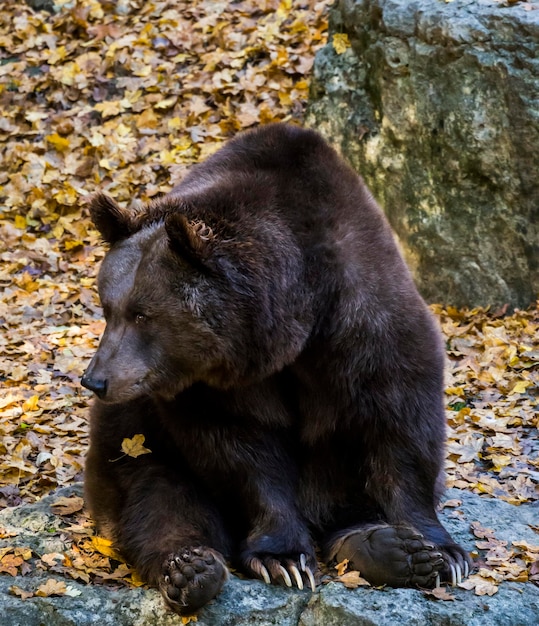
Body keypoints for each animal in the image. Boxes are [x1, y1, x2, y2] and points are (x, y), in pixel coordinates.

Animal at [82, 123, 470, 616]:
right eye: (107, 307)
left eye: (141, 314)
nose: (96, 379)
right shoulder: (211, 387)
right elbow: (243, 454)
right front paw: (283, 559)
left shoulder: (364, 321)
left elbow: (401, 423)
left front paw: (439, 550)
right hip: (130, 445)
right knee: (158, 496)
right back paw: (191, 568)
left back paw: (388, 549)